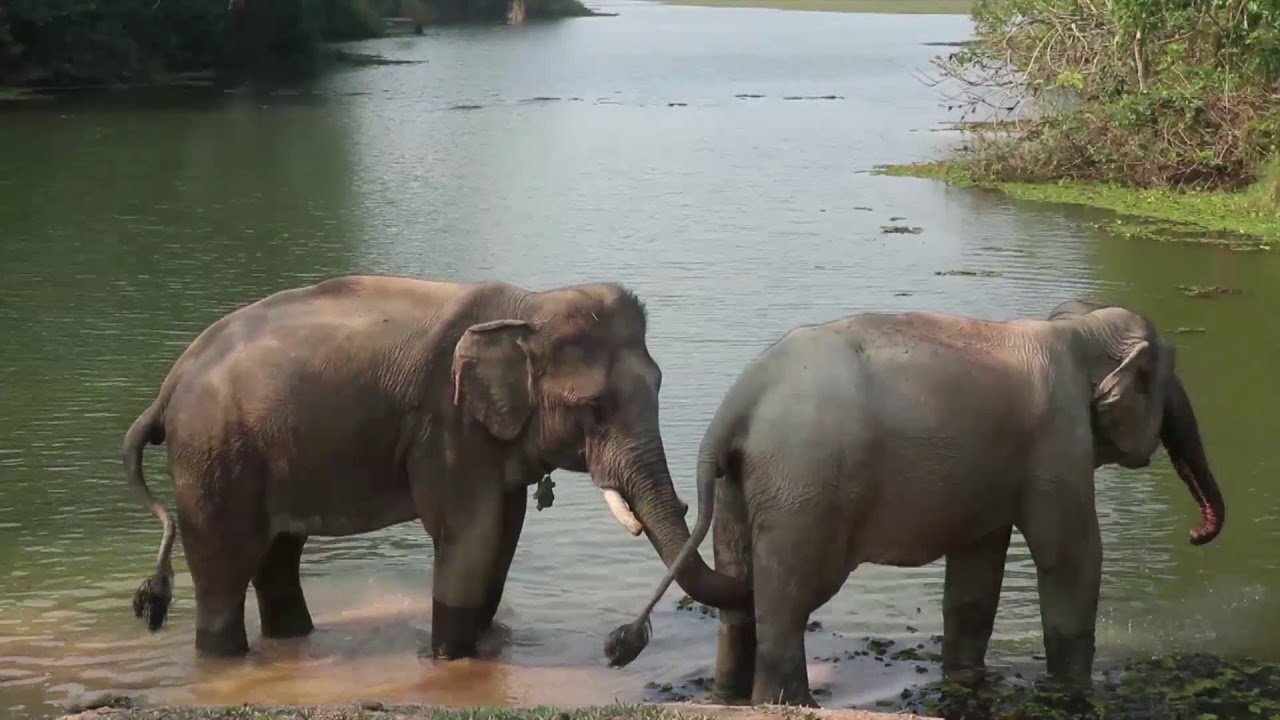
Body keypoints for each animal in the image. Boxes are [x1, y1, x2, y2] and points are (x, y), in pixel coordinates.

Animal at [122, 275, 748, 659]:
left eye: (660, 385)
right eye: (594, 408)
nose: (621, 643)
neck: (528, 308)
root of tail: (170, 384)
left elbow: (503, 534)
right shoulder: (448, 428)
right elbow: (469, 537)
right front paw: (449, 658)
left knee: (277, 556)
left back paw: (293, 640)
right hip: (212, 458)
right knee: (225, 567)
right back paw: (225, 657)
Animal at [605, 299, 1225, 707]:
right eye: (1170, 377)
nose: (1197, 535)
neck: (1075, 329)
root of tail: (738, 404)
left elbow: (976, 572)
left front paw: (965, 682)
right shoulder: (1059, 443)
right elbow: (1069, 556)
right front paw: (1073, 690)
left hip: (744, 486)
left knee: (739, 593)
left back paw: (726, 696)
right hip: (803, 488)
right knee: (788, 595)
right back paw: (792, 703)